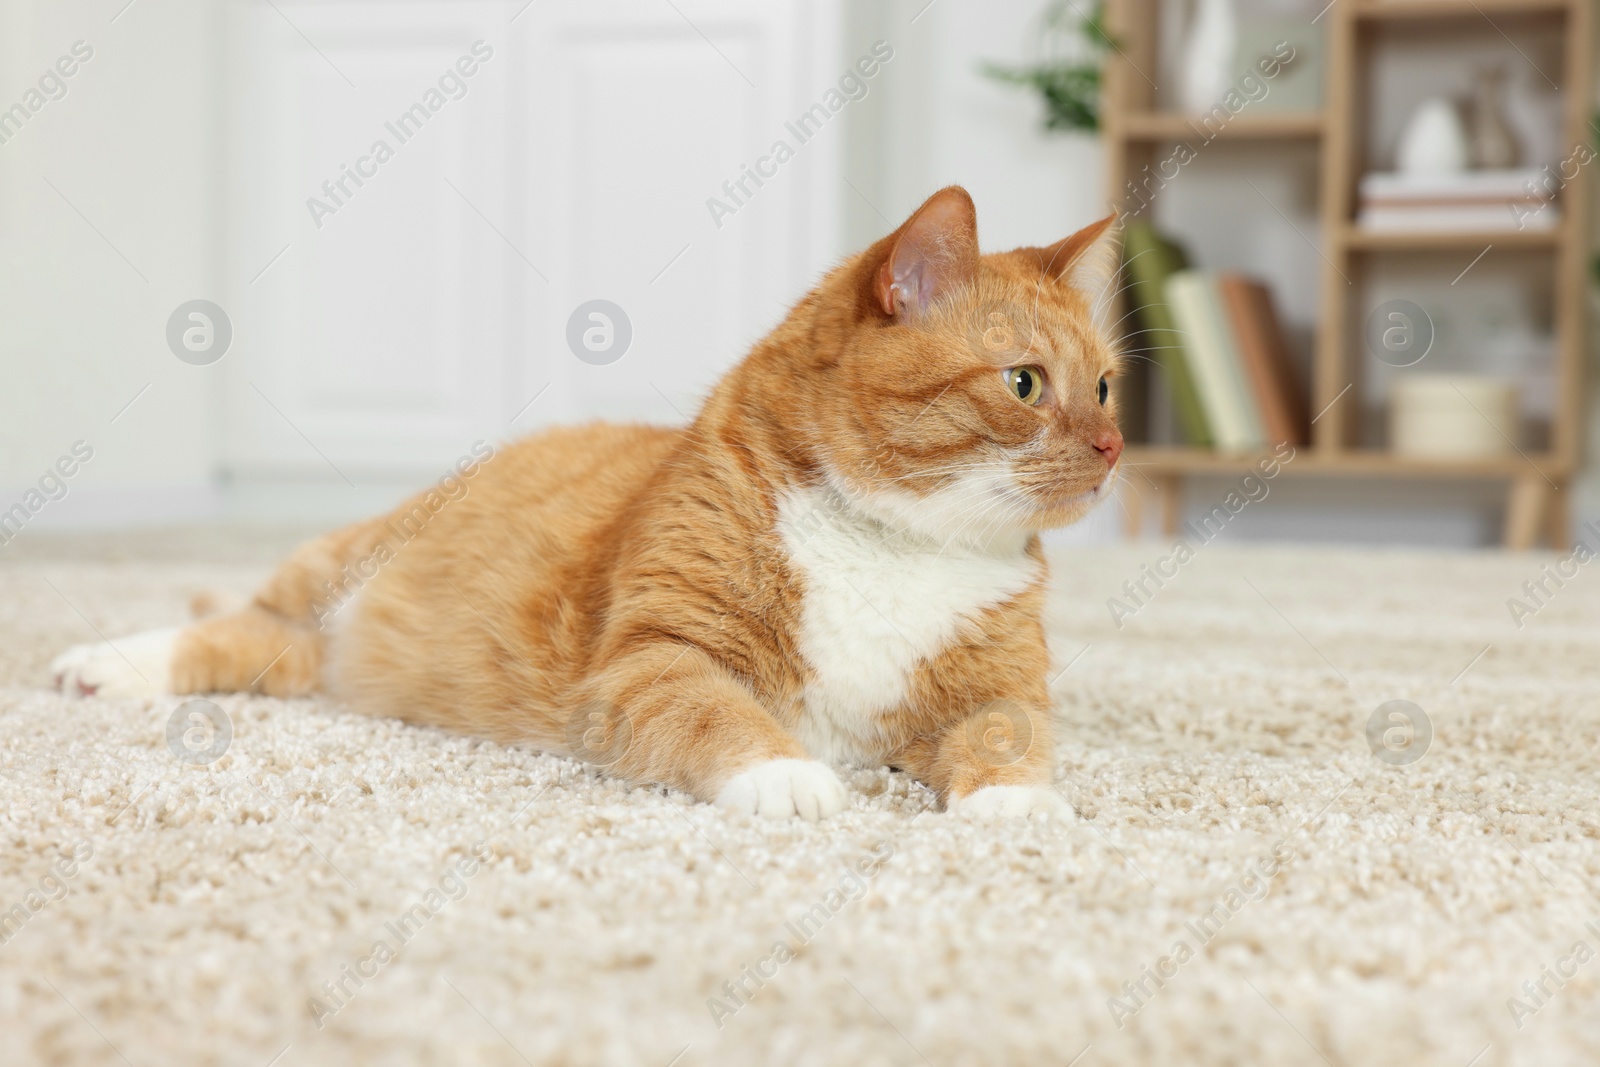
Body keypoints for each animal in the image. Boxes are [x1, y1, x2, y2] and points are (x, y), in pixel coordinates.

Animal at [50, 189, 1126, 825]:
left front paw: (1013, 806)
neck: (904, 549)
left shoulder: (1003, 686)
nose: (1114, 448)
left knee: (263, 648)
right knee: (237, 624)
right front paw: (784, 775)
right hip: (338, 564)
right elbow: (718, 713)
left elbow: (1006, 732)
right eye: (1026, 383)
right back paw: (103, 663)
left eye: (1107, 388)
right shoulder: (650, 658)